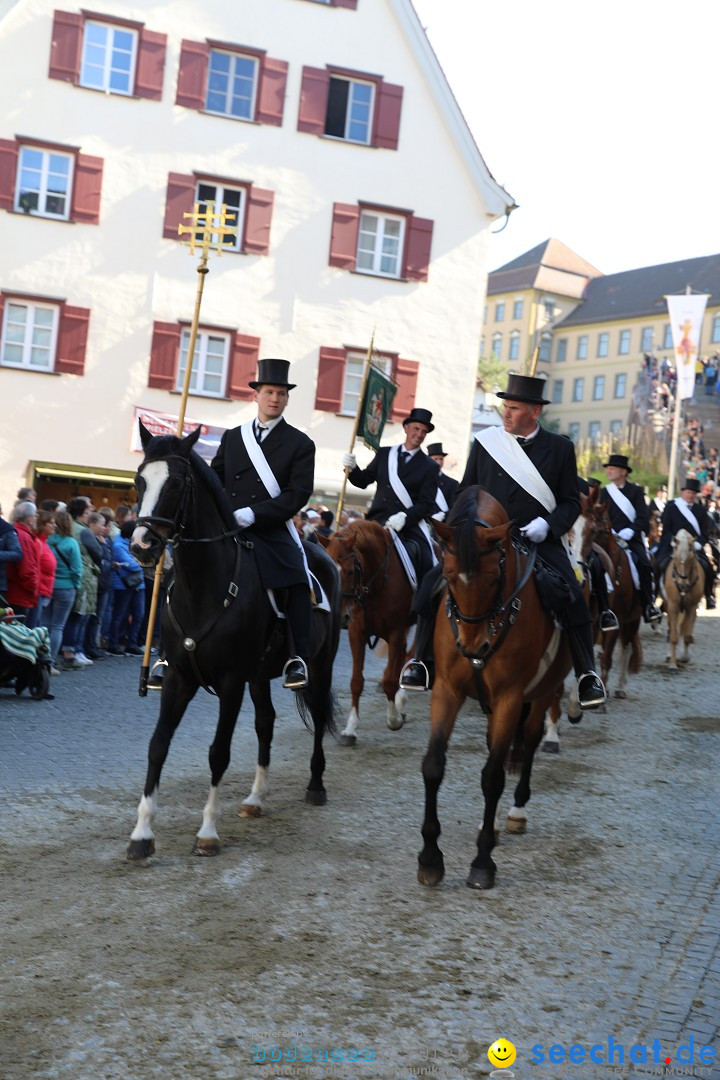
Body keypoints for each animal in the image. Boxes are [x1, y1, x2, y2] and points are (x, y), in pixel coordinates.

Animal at [125, 423, 343, 859]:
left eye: (177, 483)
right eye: (140, 479)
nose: (142, 545)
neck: (203, 586)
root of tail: (323, 552)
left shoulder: (229, 683)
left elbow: (218, 752)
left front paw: (207, 832)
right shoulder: (179, 679)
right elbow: (158, 745)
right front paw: (141, 834)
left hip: (320, 664)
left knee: (317, 716)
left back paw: (315, 786)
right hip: (258, 676)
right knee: (266, 723)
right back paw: (255, 798)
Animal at [317, 520, 414, 743]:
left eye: (350, 572)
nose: (341, 617)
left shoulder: (396, 631)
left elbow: (390, 680)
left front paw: (393, 719)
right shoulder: (356, 632)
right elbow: (356, 681)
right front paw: (350, 728)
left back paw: (401, 699)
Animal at [416, 486, 574, 889]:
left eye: (492, 579)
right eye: (449, 577)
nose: (474, 649)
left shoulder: (509, 698)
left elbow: (492, 776)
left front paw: (483, 861)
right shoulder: (447, 690)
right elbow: (433, 766)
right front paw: (430, 858)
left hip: (541, 692)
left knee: (528, 741)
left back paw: (516, 812)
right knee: (497, 749)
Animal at [578, 488, 643, 699]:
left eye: (602, 531)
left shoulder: (617, 620)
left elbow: (607, 657)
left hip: (633, 619)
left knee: (627, 647)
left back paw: (621, 687)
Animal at [660, 529, 703, 669]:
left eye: (691, 559)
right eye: (675, 558)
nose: (683, 586)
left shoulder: (691, 607)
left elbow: (687, 634)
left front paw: (684, 657)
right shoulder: (673, 606)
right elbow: (673, 636)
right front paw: (673, 664)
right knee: (671, 630)